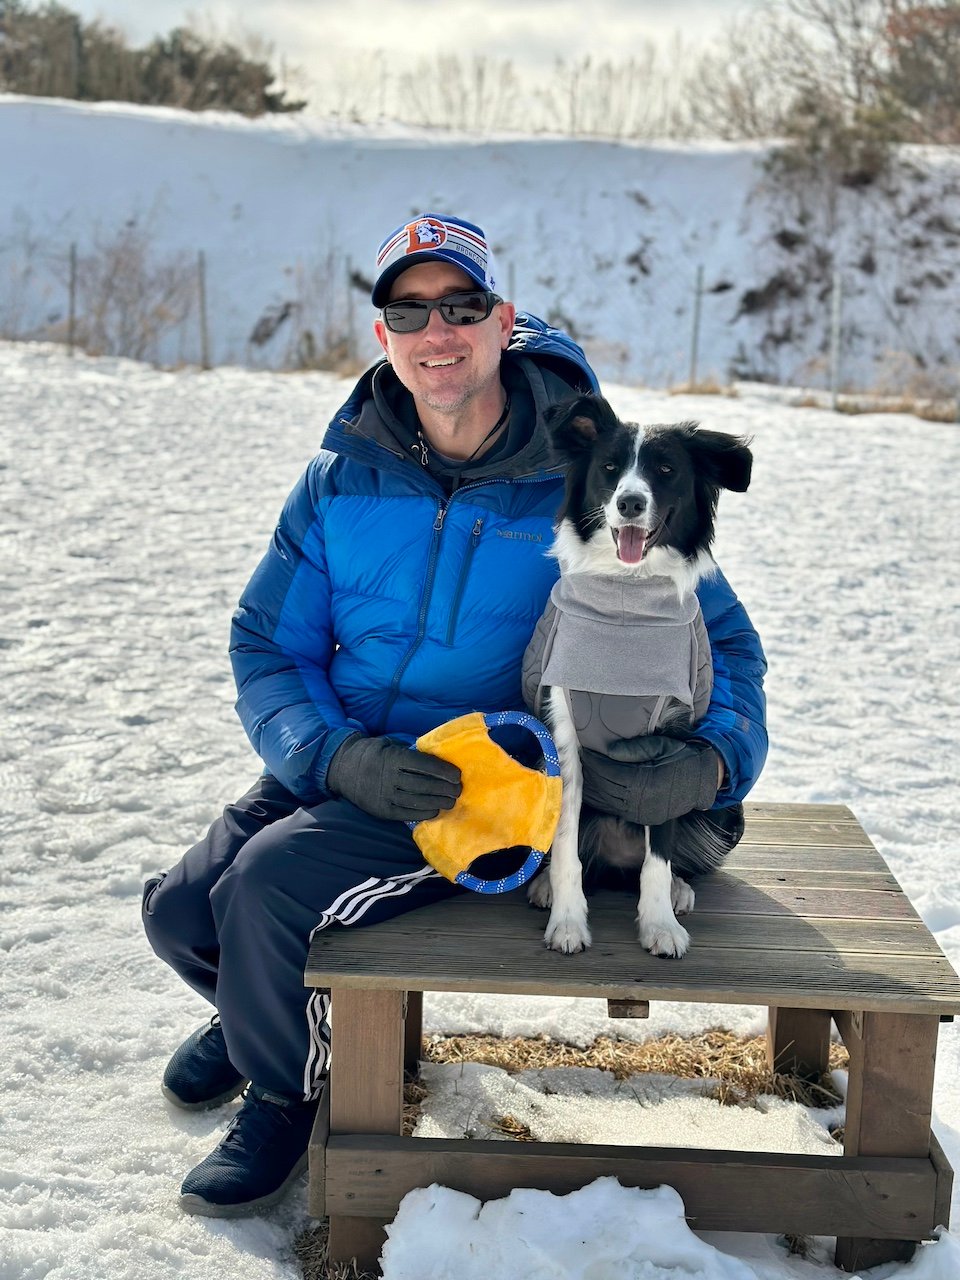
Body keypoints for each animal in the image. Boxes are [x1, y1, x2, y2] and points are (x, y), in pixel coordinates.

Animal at [522, 394, 757, 957]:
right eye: (610, 468)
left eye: (666, 470)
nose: (630, 502)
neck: (626, 603)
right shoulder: (562, 731)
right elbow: (565, 841)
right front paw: (568, 921)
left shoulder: (668, 749)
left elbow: (660, 844)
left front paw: (658, 924)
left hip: (719, 801)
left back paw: (677, 890)